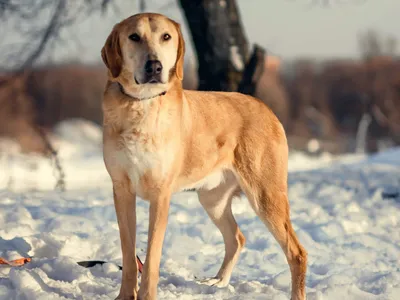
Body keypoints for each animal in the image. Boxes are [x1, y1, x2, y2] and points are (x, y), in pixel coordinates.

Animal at [101, 12, 308, 300]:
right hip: (212, 198)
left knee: (297, 252)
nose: (154, 66)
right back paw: (218, 283)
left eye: (166, 36)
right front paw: (124, 296)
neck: (140, 104)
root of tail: (264, 107)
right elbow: (129, 256)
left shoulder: (160, 195)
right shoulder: (121, 190)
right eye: (134, 37)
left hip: (265, 195)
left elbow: (151, 258)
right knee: (236, 237)